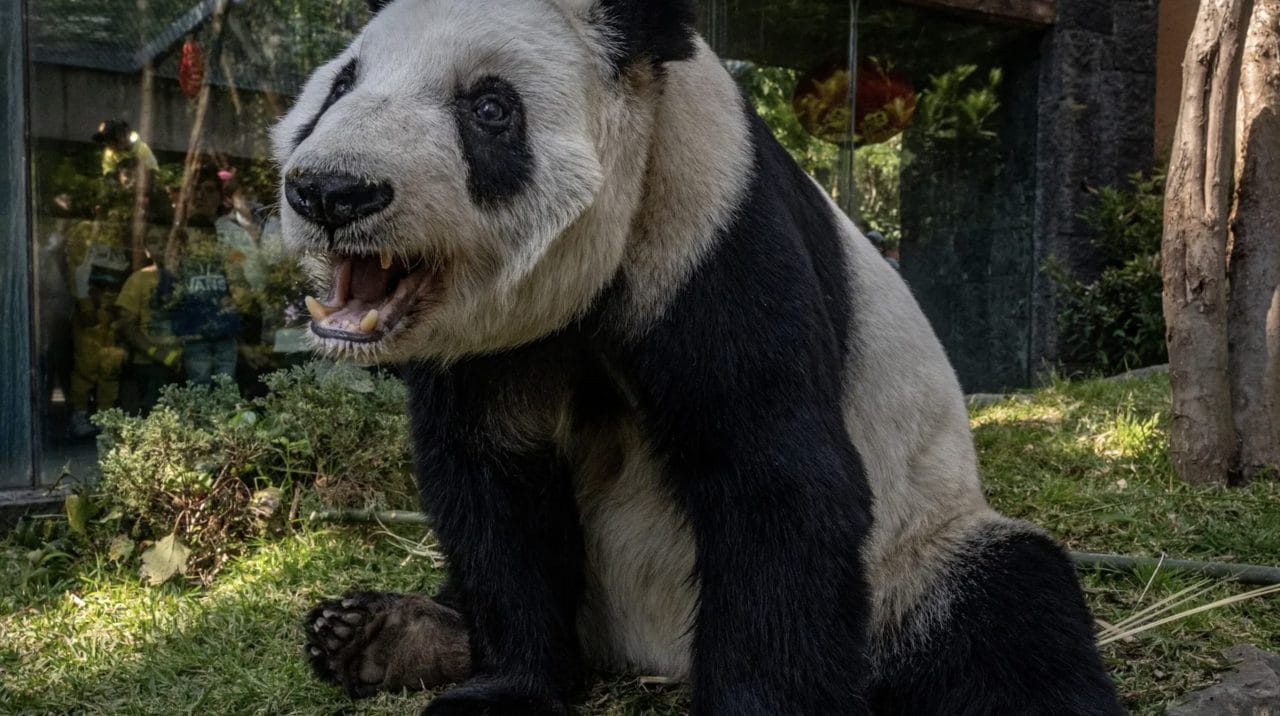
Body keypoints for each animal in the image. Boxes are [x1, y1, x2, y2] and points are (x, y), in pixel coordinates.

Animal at [273, 0, 1124, 713]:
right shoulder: (491, 345)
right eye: (341, 84)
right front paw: (503, 690)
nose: (333, 190)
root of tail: (645, 654)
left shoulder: (710, 227)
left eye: (488, 107)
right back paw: (376, 634)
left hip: (914, 559)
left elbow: (772, 477)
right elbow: (493, 484)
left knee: (1010, 609)